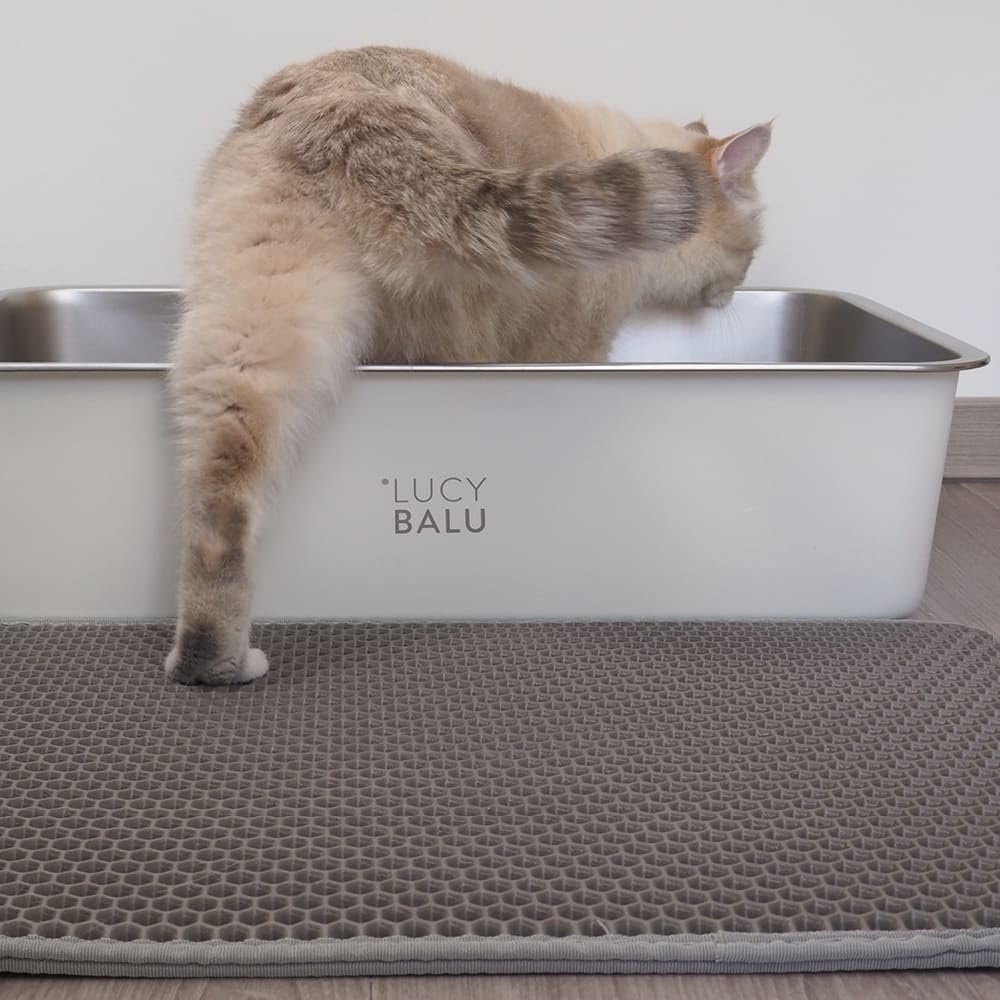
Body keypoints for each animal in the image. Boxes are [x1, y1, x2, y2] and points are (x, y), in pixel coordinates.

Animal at [164, 46, 771, 685]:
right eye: (751, 250)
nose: (735, 293)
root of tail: (348, 101)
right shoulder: (576, 350)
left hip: (248, 347)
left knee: (221, 500)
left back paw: (212, 664)